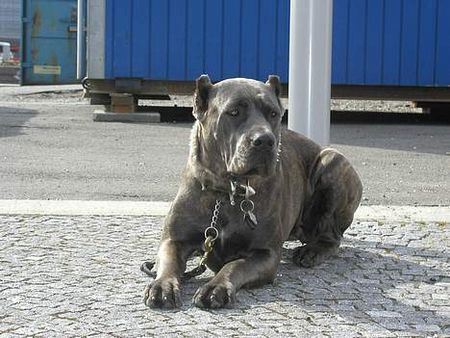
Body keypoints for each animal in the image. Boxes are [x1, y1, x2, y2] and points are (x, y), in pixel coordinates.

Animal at [143, 74, 362, 308]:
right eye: (234, 112)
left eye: (273, 114)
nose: (265, 140)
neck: (226, 193)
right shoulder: (174, 240)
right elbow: (169, 262)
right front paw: (162, 285)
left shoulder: (264, 254)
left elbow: (235, 265)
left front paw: (216, 287)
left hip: (331, 162)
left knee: (332, 236)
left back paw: (312, 250)